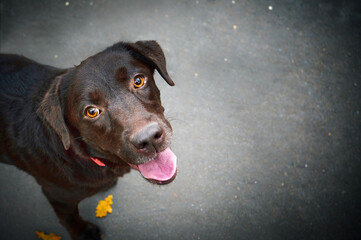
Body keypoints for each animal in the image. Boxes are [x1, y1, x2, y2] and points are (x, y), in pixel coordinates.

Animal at [0, 40, 176, 239]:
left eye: (138, 81)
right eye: (91, 111)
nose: (149, 138)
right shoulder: (58, 197)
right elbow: (70, 218)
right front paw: (84, 233)